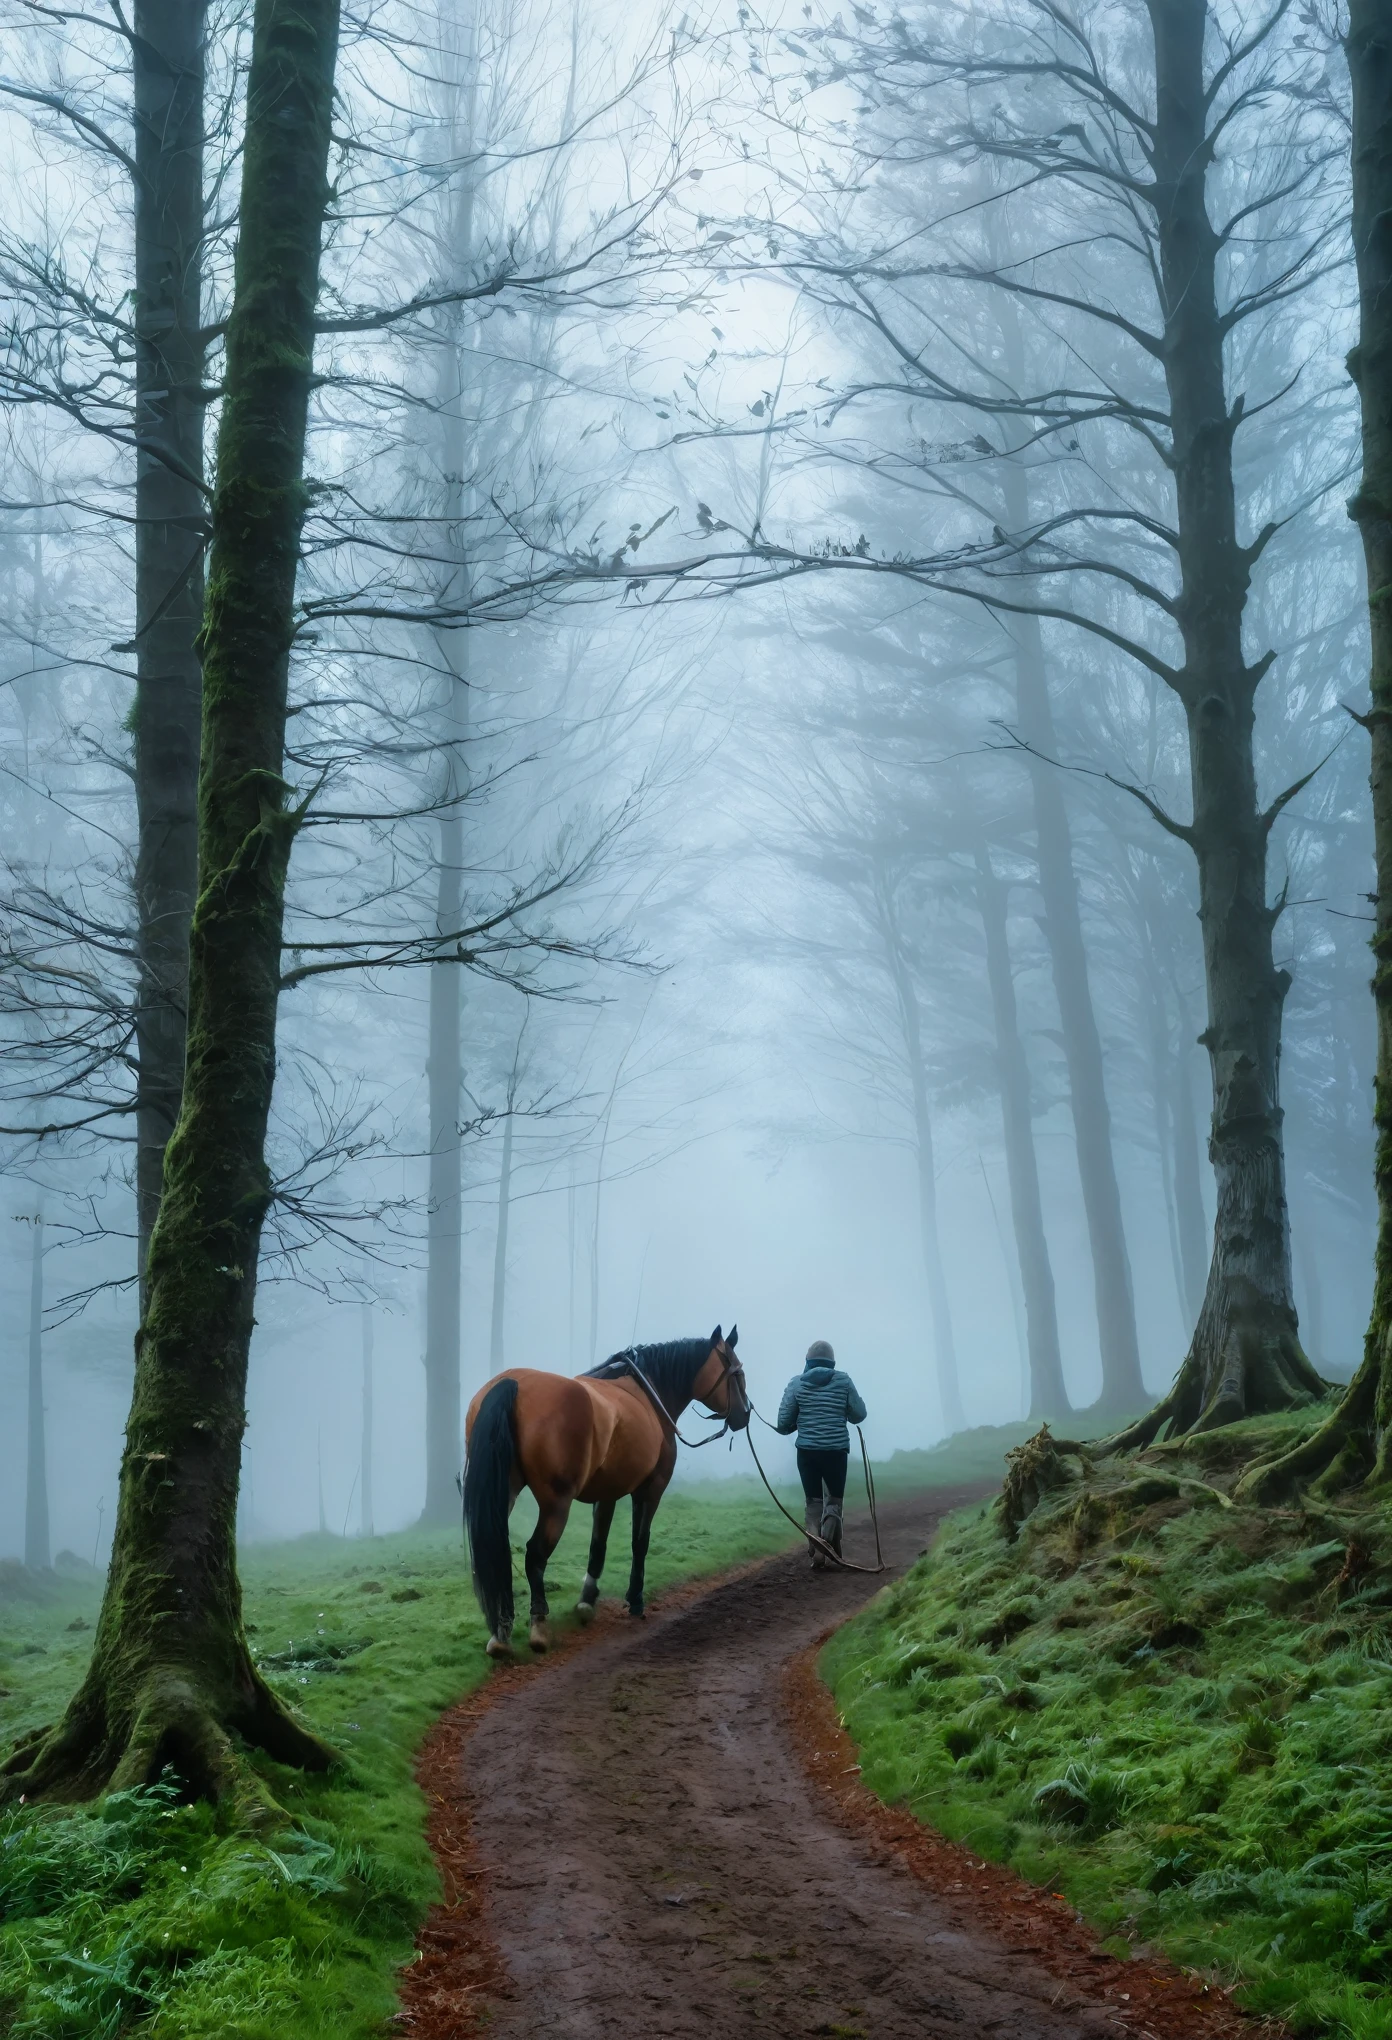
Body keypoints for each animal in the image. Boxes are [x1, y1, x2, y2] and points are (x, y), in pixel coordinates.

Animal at [457, 1321, 742, 1656]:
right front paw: (635, 1599)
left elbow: (598, 1545)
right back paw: (538, 1625)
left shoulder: (607, 1493)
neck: (649, 1393)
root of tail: (513, 1383)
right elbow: (639, 1543)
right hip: (556, 1504)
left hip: (503, 1495)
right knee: (535, 1555)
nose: (745, 1413)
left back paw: (501, 1632)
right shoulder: (650, 1489)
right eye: (737, 1372)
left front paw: (587, 1599)